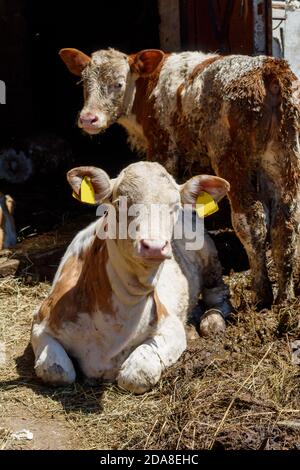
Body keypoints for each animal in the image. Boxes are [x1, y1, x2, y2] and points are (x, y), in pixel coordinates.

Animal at [31, 162, 230, 392]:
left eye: (174, 207)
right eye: (120, 204)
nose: (154, 246)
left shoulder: (170, 327)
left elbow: (135, 375)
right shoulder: (41, 321)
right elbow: (56, 371)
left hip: (209, 257)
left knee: (218, 295)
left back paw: (212, 320)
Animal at [59, 47, 300, 308]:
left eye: (118, 83)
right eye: (84, 82)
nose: (88, 118)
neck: (147, 88)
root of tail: (268, 68)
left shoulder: (164, 149)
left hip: (231, 160)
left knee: (251, 222)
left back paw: (262, 294)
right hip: (284, 158)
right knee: (286, 223)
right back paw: (285, 296)